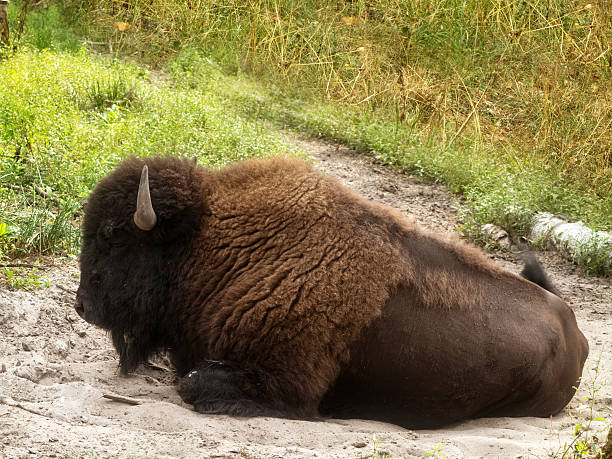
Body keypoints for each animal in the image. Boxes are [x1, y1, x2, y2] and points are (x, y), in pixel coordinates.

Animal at [75, 156, 588, 430]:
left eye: (113, 236)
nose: (82, 306)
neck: (213, 242)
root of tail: (574, 328)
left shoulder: (288, 386)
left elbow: (195, 383)